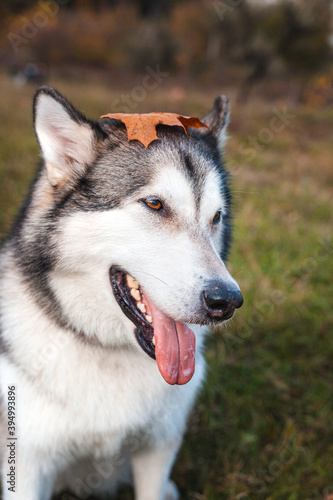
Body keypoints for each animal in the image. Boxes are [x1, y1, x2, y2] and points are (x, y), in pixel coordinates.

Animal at [0, 87, 244, 500]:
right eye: (155, 204)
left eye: (216, 218)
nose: (226, 301)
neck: (106, 348)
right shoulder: (29, 466)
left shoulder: (158, 448)